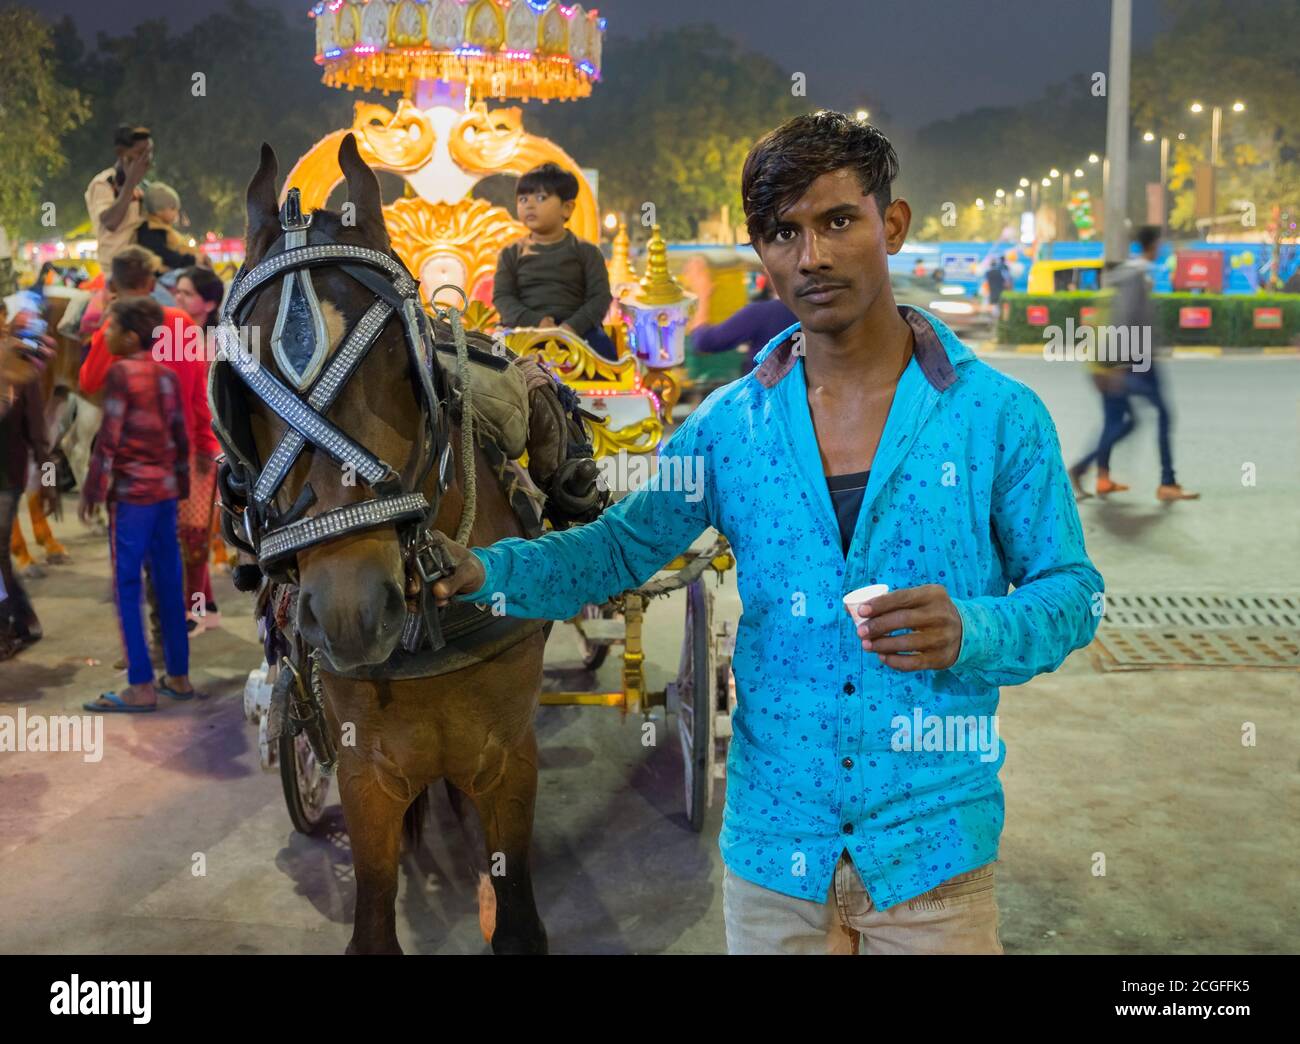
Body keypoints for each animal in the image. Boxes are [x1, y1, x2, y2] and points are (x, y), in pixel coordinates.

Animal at [239, 136, 548, 956]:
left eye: (396, 364)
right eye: (242, 389)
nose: (350, 609)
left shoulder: (511, 760)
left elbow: (518, 919)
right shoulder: (365, 771)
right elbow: (373, 920)